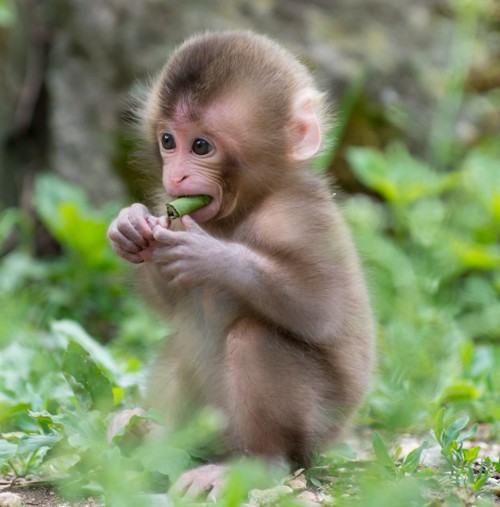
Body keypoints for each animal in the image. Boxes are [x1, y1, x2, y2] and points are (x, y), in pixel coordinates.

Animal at [108, 30, 376, 500]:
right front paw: (131, 227)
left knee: (253, 338)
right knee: (183, 339)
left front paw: (211, 255)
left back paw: (255, 466)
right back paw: (149, 436)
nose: (175, 176)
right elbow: (171, 300)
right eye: (167, 141)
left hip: (317, 428)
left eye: (201, 146)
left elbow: (321, 307)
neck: (247, 204)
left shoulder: (298, 215)